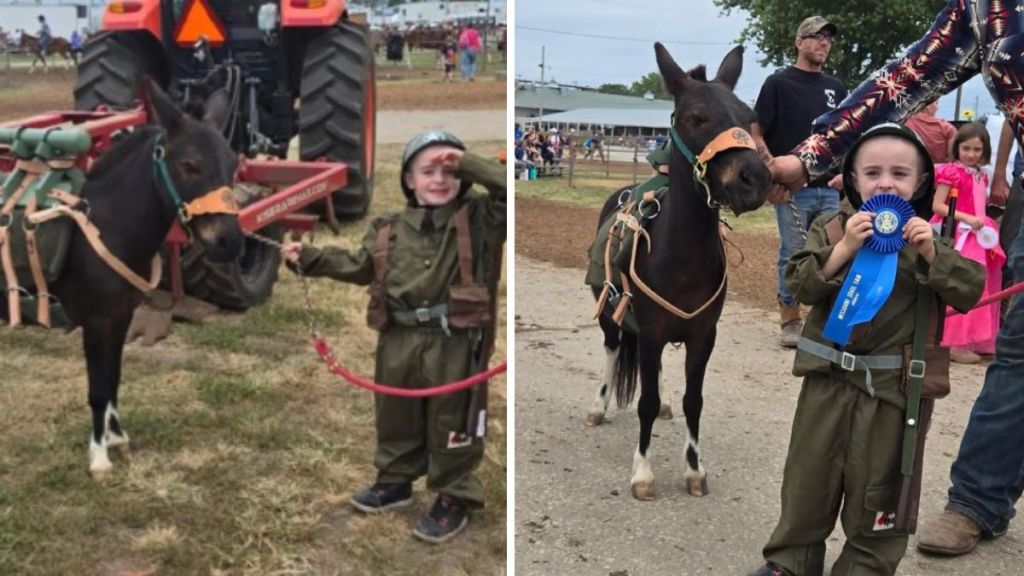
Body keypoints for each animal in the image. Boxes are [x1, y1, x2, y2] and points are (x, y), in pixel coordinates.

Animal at [585, 44, 770, 500]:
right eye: (696, 117)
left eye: (748, 116)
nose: (754, 178)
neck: (682, 256)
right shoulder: (650, 330)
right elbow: (645, 402)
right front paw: (643, 473)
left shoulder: (703, 335)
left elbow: (693, 400)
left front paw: (694, 469)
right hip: (609, 314)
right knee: (612, 350)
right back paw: (599, 406)